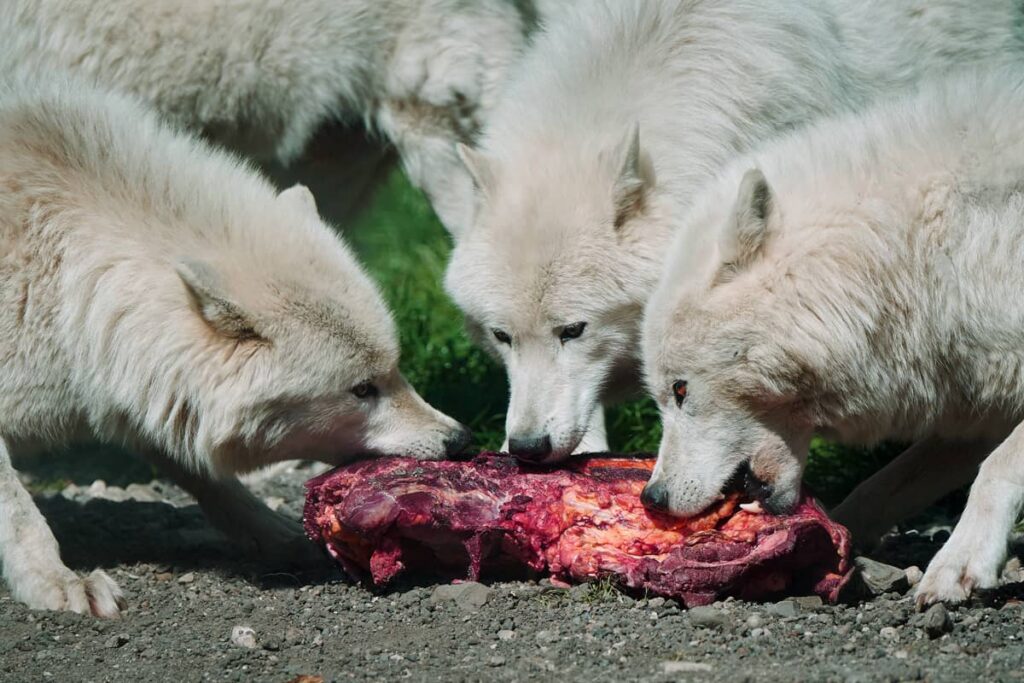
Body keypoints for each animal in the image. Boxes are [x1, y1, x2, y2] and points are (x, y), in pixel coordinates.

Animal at [0, 77, 470, 617]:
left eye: (397, 370)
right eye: (362, 389)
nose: (460, 440)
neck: (64, 287)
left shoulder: (149, 391)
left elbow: (207, 474)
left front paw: (277, 535)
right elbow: (19, 511)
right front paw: (56, 581)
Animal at [641, 65, 1024, 606]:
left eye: (680, 389)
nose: (651, 497)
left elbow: (997, 467)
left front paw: (960, 562)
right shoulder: (979, 402)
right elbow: (880, 486)